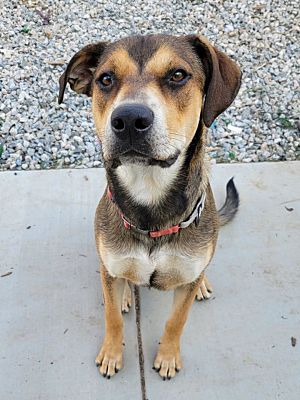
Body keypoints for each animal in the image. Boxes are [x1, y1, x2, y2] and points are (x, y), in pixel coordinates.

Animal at [58, 32, 241, 380]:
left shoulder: (186, 280)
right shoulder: (111, 265)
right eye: (105, 79)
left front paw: (168, 357)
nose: (129, 119)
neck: (149, 198)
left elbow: (176, 321)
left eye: (178, 75)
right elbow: (113, 318)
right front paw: (112, 354)